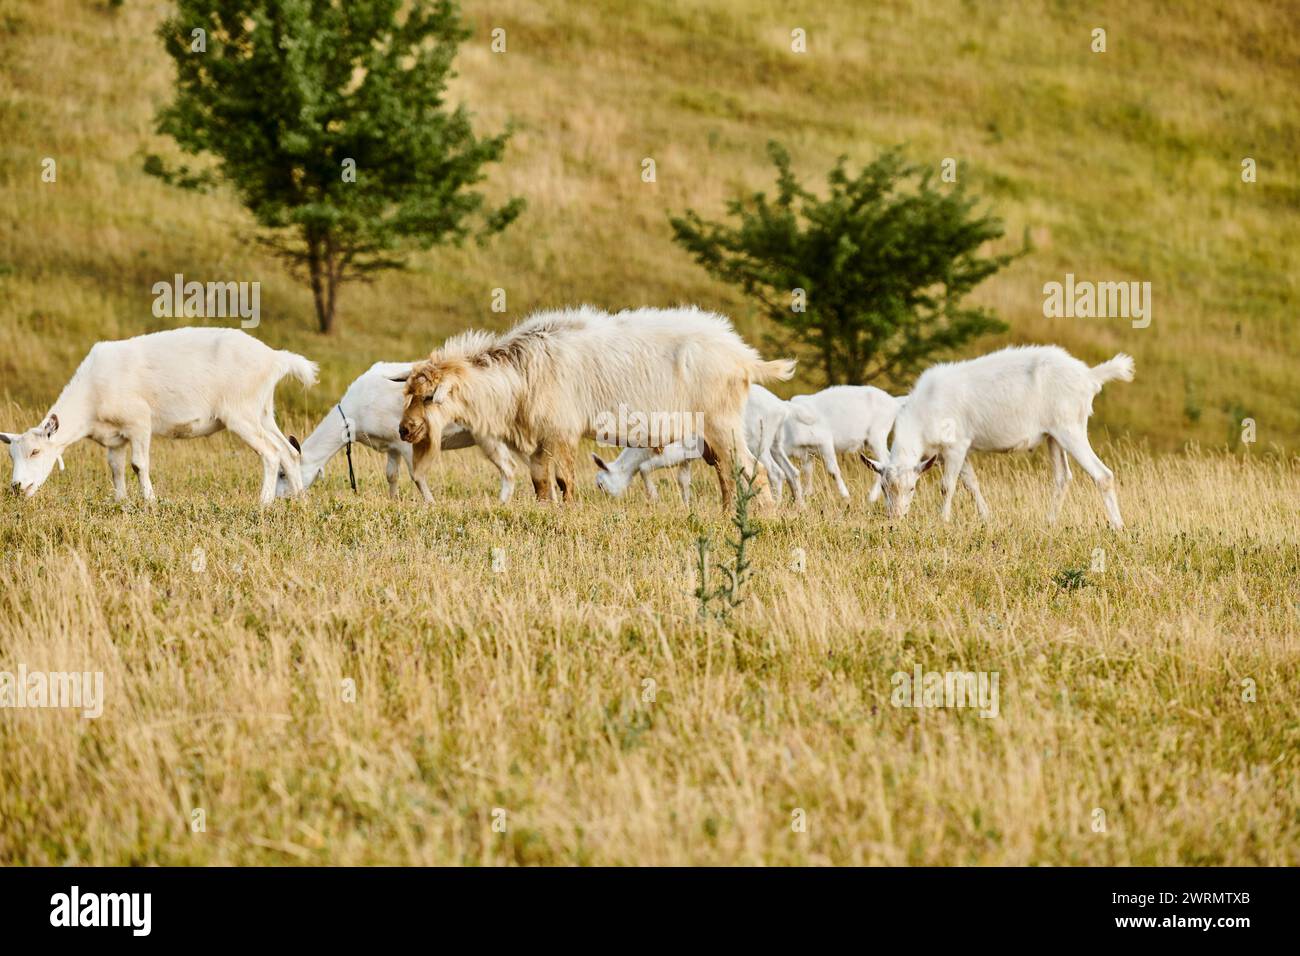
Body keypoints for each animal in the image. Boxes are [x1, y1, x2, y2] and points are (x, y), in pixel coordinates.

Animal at [1, 327, 314, 509]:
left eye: (35, 451)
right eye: (11, 455)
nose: (17, 488)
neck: (91, 396)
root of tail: (275, 358)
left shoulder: (139, 422)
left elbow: (139, 465)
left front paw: (150, 501)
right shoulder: (114, 437)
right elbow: (115, 468)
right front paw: (121, 501)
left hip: (241, 413)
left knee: (271, 453)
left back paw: (263, 502)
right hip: (262, 411)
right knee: (288, 451)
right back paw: (300, 500)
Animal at [274, 361, 517, 504]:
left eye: (282, 473)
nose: (278, 499)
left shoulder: (406, 440)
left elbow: (417, 475)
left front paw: (431, 504)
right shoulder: (391, 445)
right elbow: (391, 475)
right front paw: (393, 501)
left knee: (508, 467)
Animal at [592, 382, 795, 504]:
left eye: (601, 484)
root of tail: (781, 407)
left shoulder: (674, 452)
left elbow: (644, 468)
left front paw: (655, 498)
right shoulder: (687, 458)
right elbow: (684, 480)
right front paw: (686, 506)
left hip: (757, 445)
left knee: (774, 473)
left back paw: (776, 504)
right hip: (775, 446)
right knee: (791, 472)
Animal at [863, 343, 1138, 528]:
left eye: (912, 488)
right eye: (884, 488)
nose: (896, 518)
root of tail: (1089, 376)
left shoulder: (956, 445)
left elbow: (947, 486)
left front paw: (943, 520)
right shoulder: (952, 453)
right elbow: (971, 483)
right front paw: (986, 517)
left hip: (1071, 428)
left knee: (1103, 475)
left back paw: (1118, 527)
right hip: (1054, 436)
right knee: (1062, 477)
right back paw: (1049, 523)